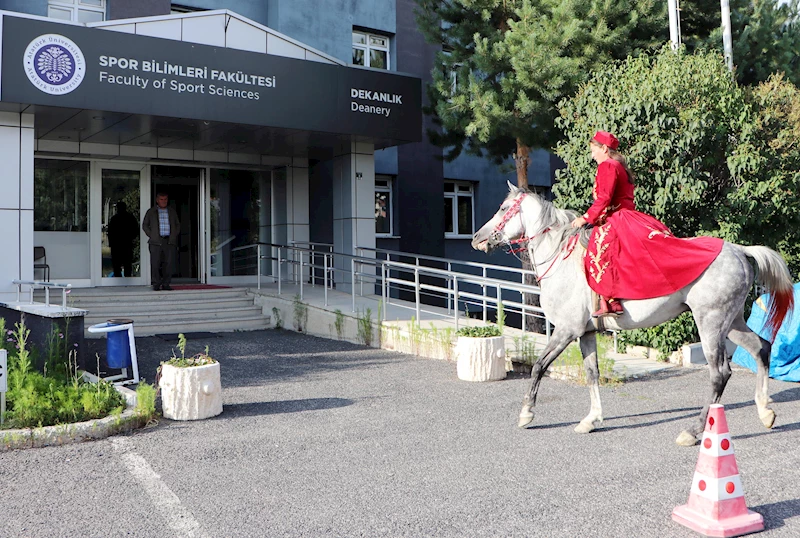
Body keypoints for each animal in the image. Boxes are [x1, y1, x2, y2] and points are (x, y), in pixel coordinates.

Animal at [472, 181, 792, 444]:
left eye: (503, 208)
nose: (477, 238)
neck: (561, 257)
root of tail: (740, 250)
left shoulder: (566, 330)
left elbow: (539, 366)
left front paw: (526, 413)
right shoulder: (586, 333)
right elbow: (592, 373)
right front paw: (591, 419)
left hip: (711, 324)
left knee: (719, 374)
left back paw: (693, 431)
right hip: (732, 321)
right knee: (761, 348)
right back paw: (765, 411)